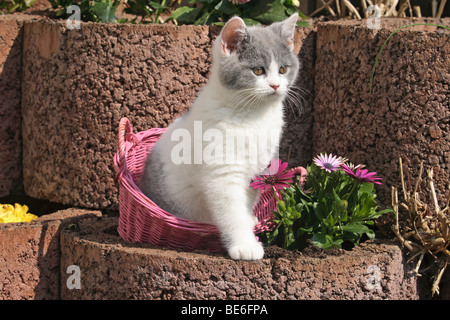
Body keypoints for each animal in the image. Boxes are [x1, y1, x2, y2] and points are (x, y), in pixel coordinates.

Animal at [142, 13, 298, 262]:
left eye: (283, 69)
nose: (275, 85)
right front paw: (245, 244)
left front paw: (249, 220)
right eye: (257, 71)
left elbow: (247, 199)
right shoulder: (222, 171)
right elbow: (232, 211)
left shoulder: (259, 167)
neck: (254, 115)